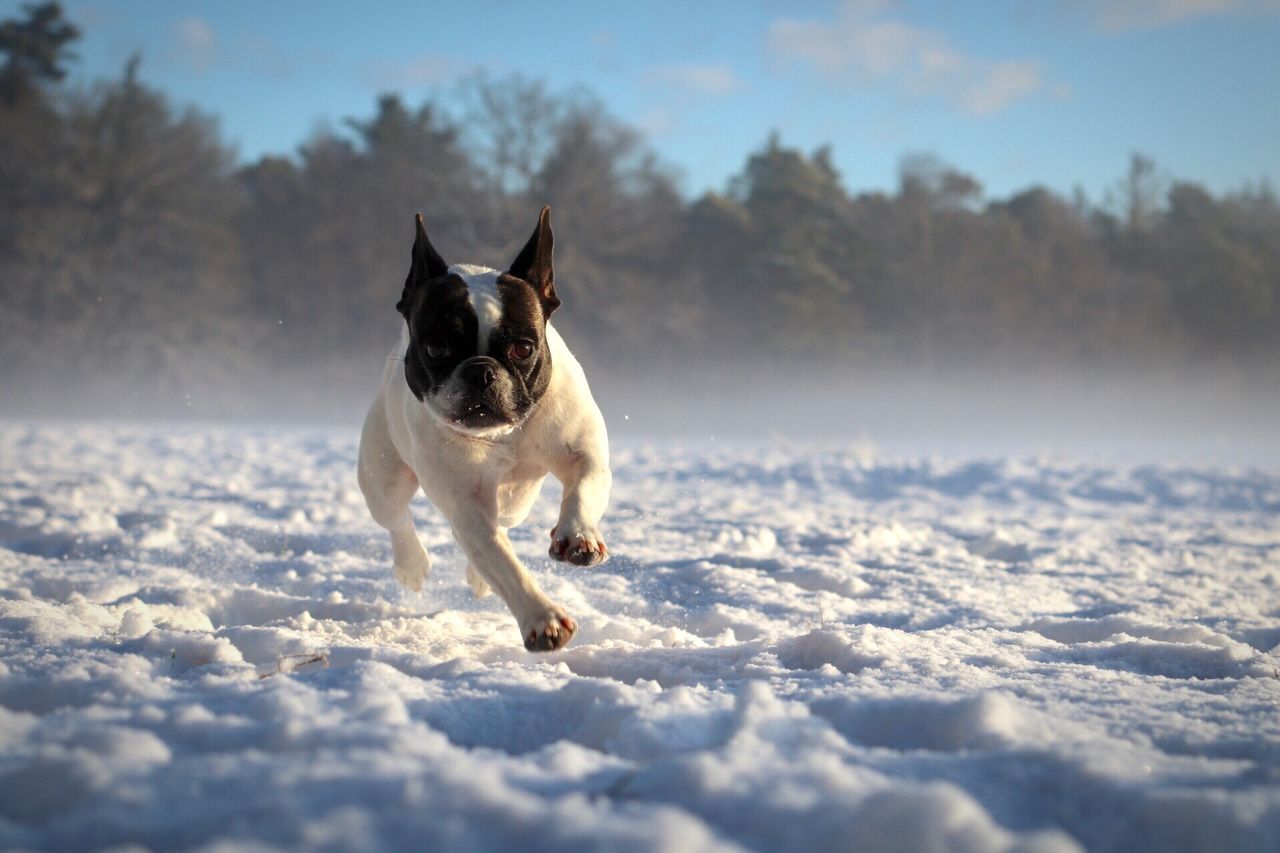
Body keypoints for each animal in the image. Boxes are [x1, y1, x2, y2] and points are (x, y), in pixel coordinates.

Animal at [353, 208, 606, 648]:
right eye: (436, 347)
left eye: (523, 348)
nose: (481, 371)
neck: (505, 435)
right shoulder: (466, 505)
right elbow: (502, 562)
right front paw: (543, 618)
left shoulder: (584, 452)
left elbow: (583, 489)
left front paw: (579, 536)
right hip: (383, 476)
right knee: (397, 516)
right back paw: (411, 564)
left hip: (517, 500)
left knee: (504, 520)